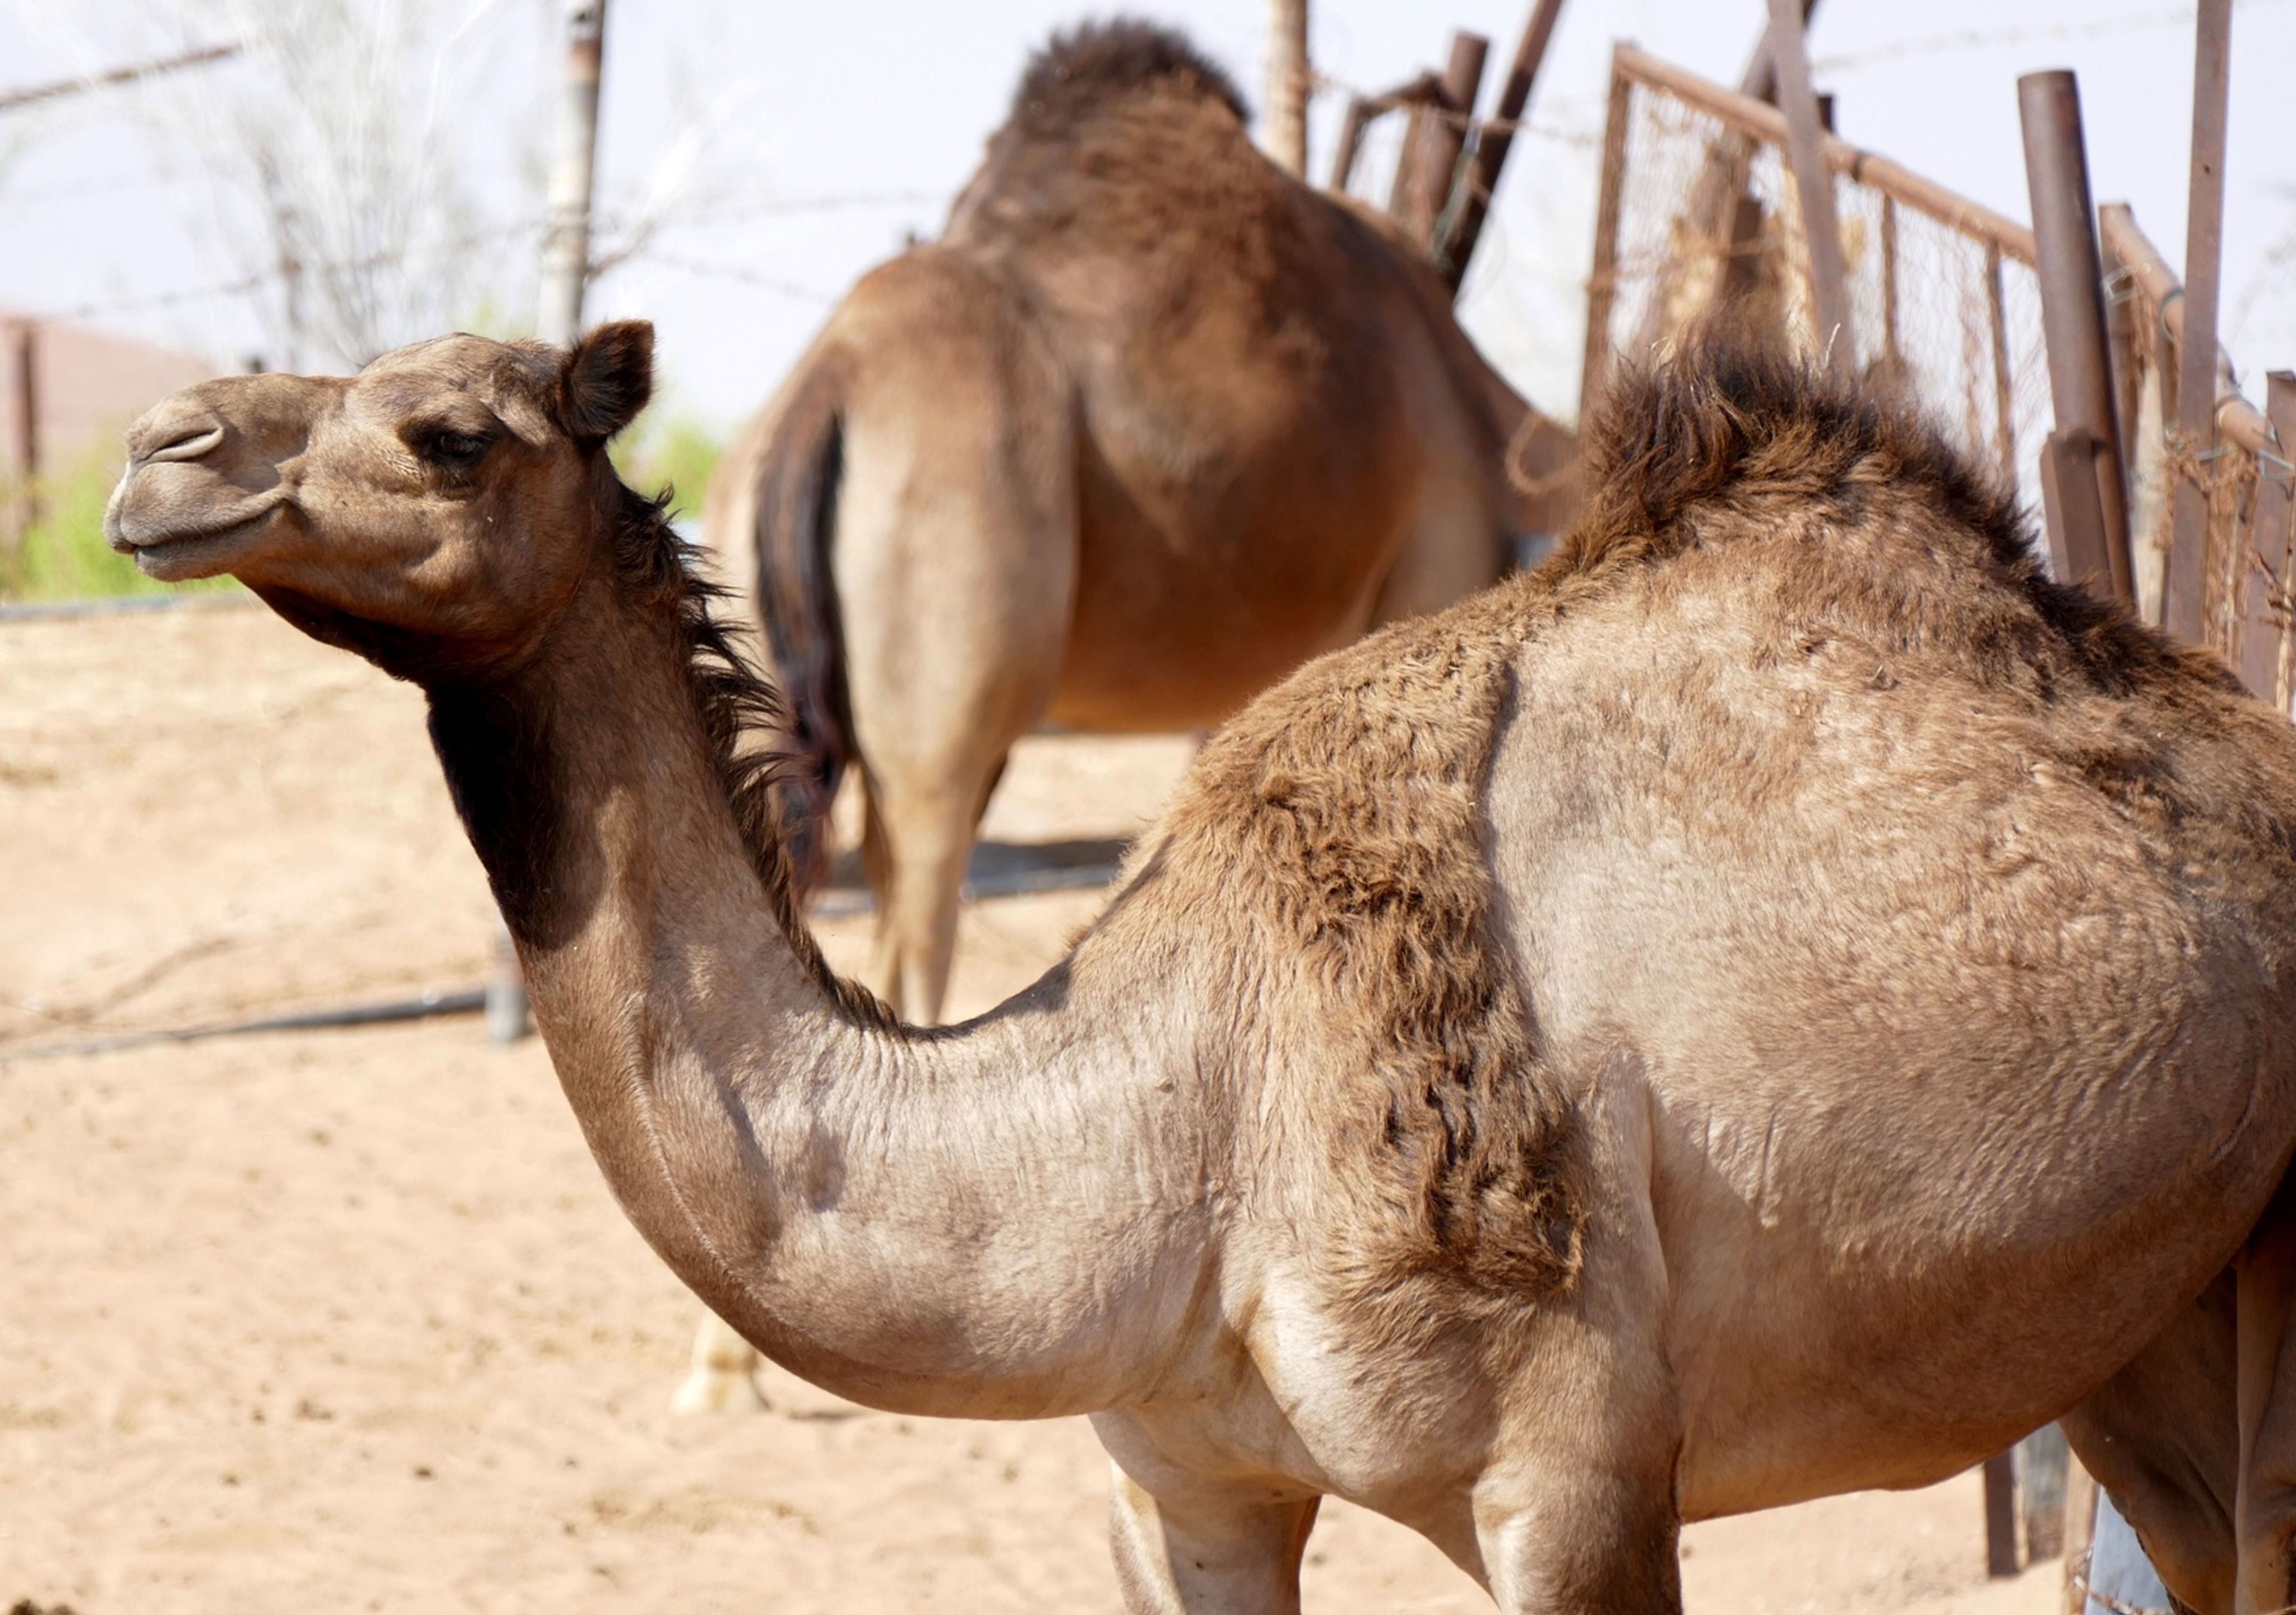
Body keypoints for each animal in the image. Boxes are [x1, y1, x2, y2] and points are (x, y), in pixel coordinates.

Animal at [108, 321, 2296, 1615]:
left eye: (448, 431)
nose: (157, 448)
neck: (1179, 1118)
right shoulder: (1179, 1482)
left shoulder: (1579, 1469)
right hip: (2140, 1316)